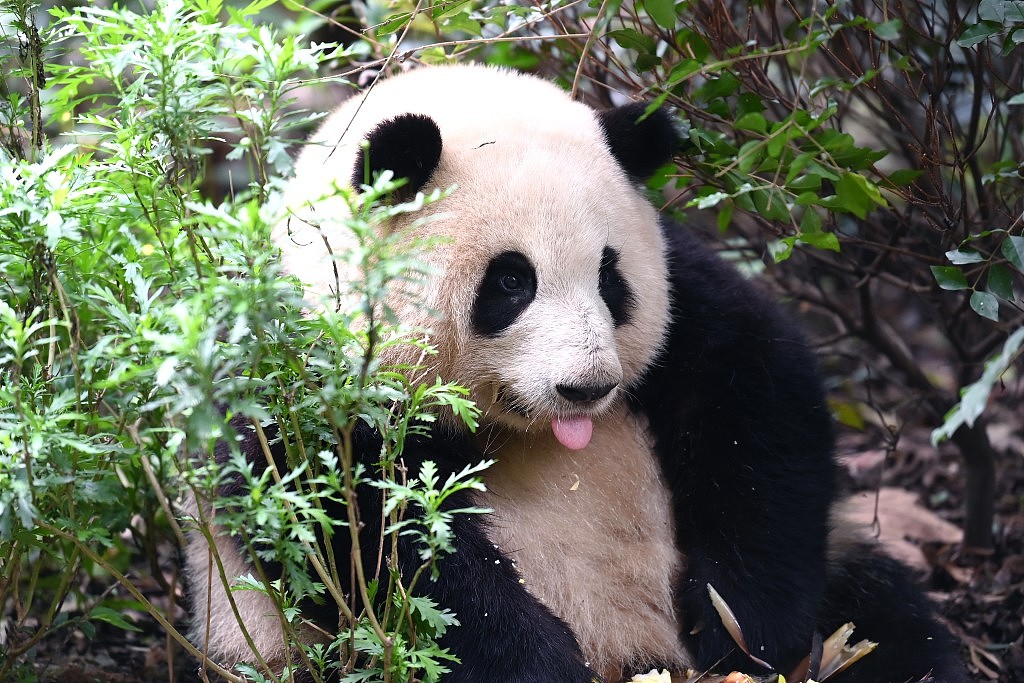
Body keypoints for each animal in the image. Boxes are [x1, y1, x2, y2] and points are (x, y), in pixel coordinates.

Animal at [184, 65, 966, 683]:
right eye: (511, 281)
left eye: (609, 277)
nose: (587, 388)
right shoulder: (293, 371)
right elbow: (358, 530)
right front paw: (539, 662)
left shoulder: (685, 294)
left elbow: (759, 398)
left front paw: (739, 631)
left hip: (843, 569)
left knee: (888, 623)